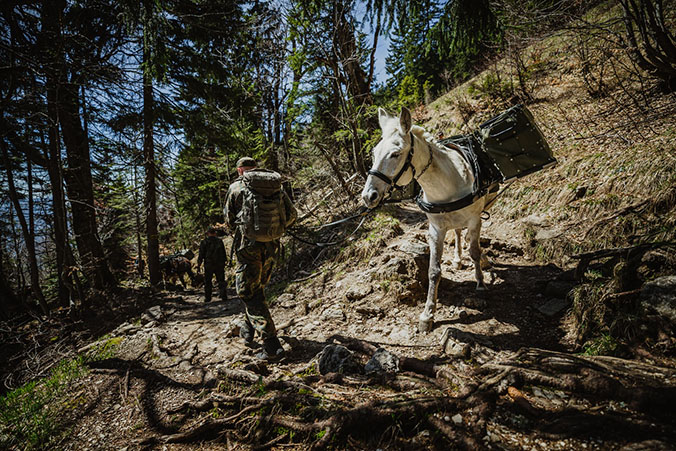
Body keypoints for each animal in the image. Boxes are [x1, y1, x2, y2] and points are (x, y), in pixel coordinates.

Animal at [362, 106, 494, 332]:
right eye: (374, 153)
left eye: (395, 153)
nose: (368, 196)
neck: (447, 184)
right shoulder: (436, 229)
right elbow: (433, 271)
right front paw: (427, 314)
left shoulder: (475, 220)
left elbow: (475, 253)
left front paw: (480, 283)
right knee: (457, 232)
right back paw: (457, 259)